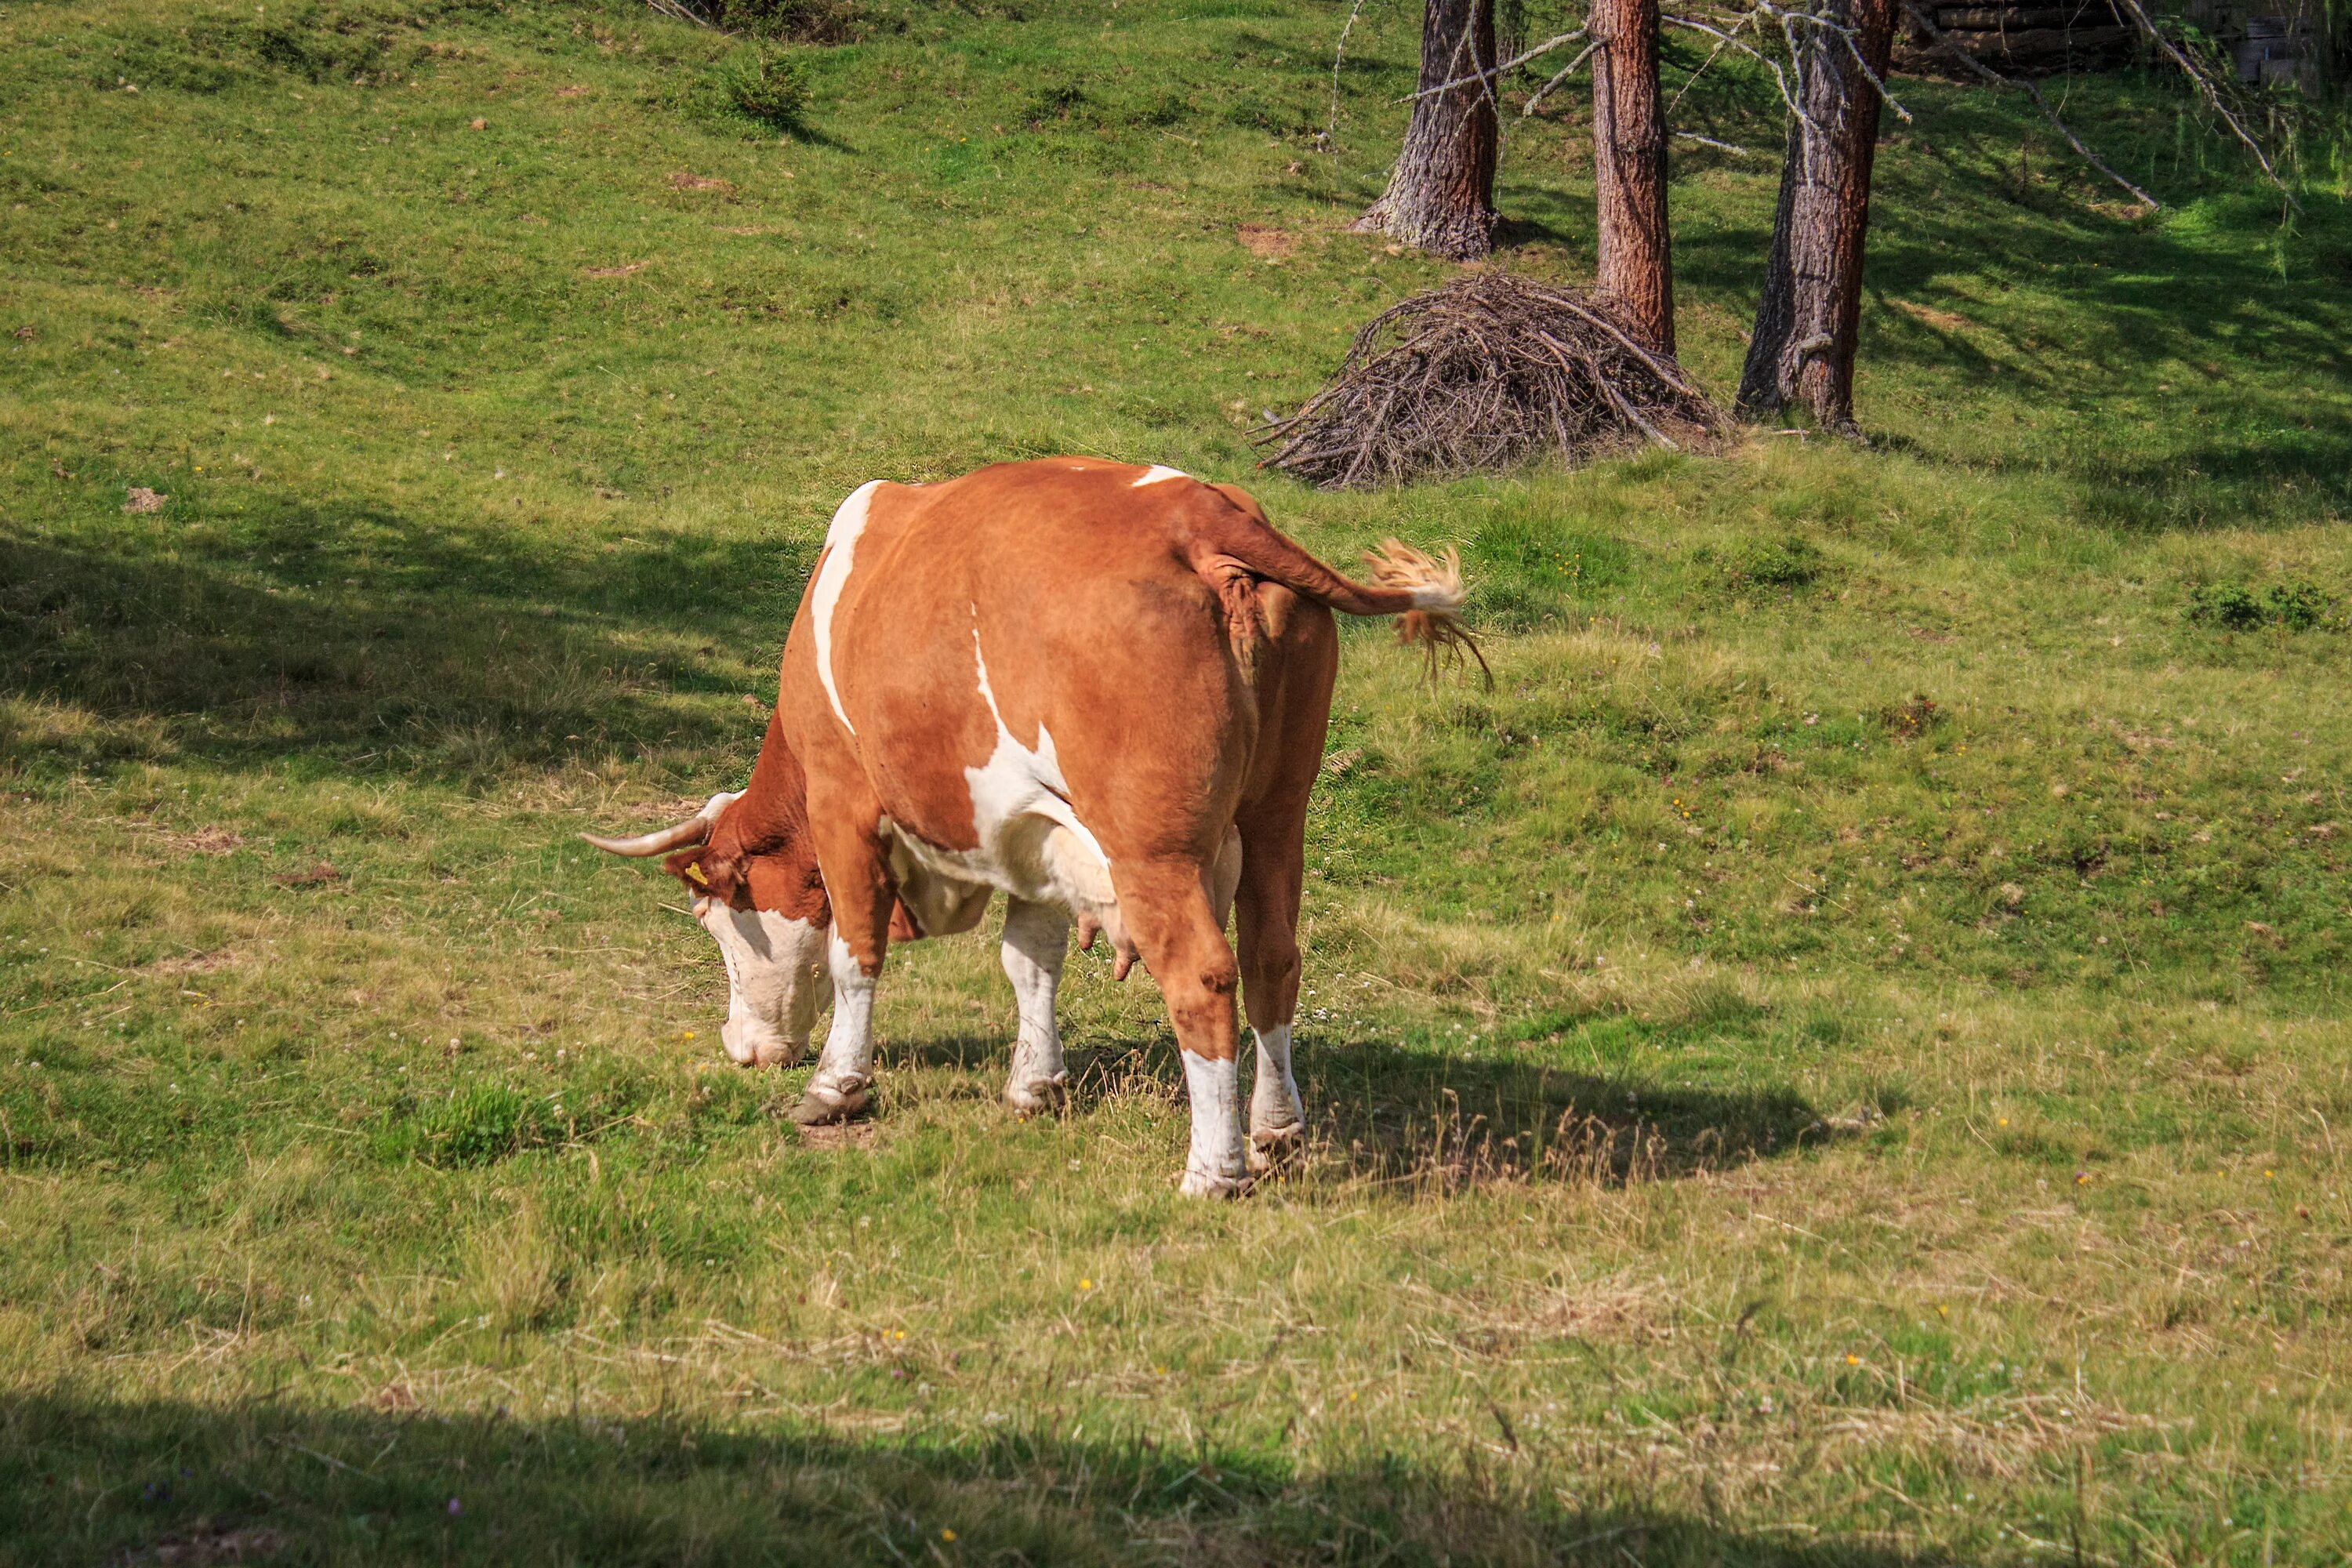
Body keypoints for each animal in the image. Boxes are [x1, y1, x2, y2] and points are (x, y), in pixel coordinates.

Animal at [588, 460, 1468, 1194]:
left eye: (716, 920)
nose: (739, 1047)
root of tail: (1202, 513)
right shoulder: (1038, 829)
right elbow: (1030, 961)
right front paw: (1033, 1084)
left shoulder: (844, 798)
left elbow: (853, 950)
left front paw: (836, 1084)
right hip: (1280, 811)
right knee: (1272, 958)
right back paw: (1276, 1132)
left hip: (1153, 847)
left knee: (1203, 975)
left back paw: (1212, 1172)